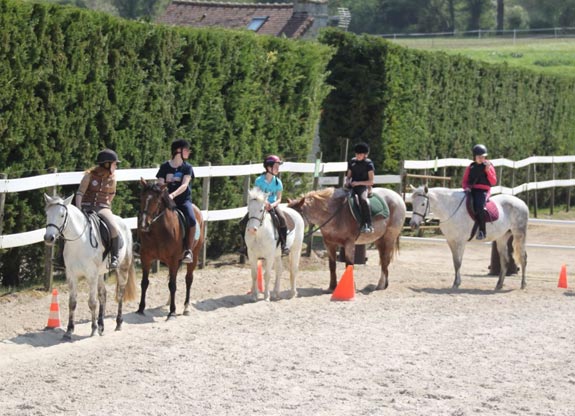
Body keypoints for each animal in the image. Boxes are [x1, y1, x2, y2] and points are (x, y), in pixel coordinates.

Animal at [43, 193, 137, 340]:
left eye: (62, 215)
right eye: (47, 213)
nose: (49, 238)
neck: (79, 242)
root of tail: (124, 223)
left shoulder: (91, 275)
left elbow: (92, 302)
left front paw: (93, 329)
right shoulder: (71, 275)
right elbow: (72, 303)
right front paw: (69, 330)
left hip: (122, 269)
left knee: (120, 294)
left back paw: (118, 323)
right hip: (100, 274)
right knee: (103, 294)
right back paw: (101, 326)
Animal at [137, 178, 205, 318]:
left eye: (156, 201)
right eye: (142, 198)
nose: (143, 224)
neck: (158, 232)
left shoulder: (173, 259)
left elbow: (173, 285)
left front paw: (172, 311)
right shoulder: (145, 257)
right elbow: (144, 282)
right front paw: (140, 308)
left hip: (194, 256)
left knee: (188, 279)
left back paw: (186, 307)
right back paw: (168, 301)